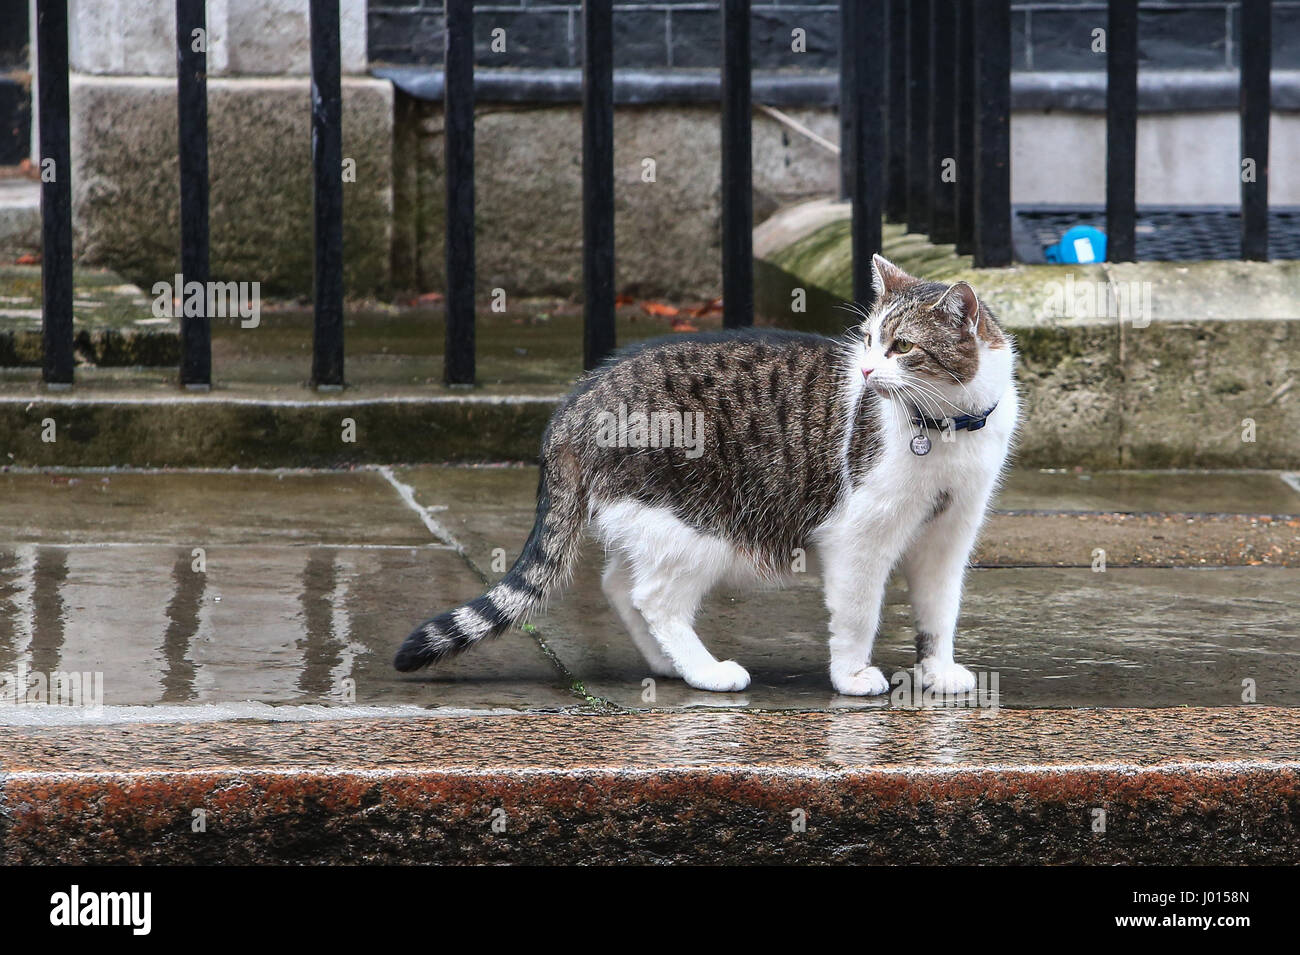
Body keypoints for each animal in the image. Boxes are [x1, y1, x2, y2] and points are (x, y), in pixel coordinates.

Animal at [392, 257, 1013, 696]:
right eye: (866, 340)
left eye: (901, 346)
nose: (863, 371)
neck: (948, 426)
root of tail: (578, 400)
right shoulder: (859, 538)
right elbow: (859, 615)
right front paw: (852, 677)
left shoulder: (947, 539)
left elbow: (940, 611)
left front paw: (937, 672)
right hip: (698, 523)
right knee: (654, 597)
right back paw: (705, 671)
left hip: (657, 519)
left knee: (620, 585)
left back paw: (668, 665)